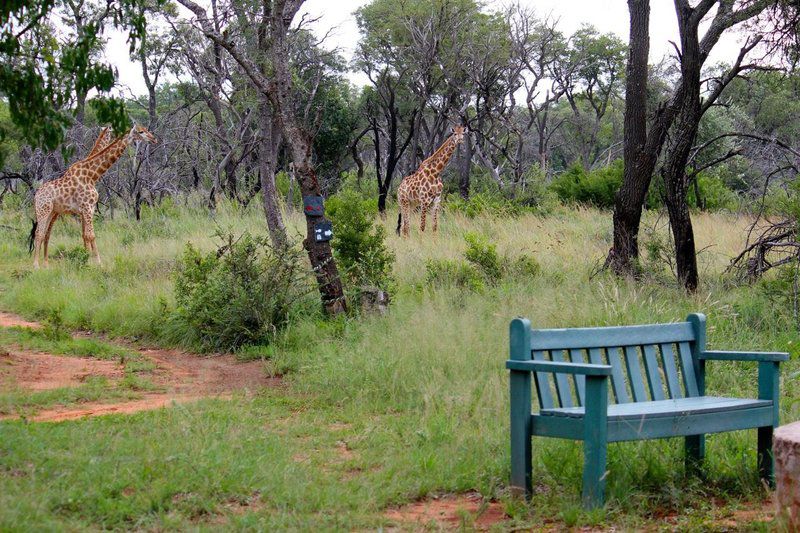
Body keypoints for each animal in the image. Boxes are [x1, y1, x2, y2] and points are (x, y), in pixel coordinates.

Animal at [28, 123, 156, 266]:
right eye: (141, 131)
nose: (154, 139)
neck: (92, 175)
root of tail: (36, 195)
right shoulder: (87, 208)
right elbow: (90, 235)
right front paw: (97, 262)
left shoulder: (88, 209)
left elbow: (85, 235)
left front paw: (87, 259)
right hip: (43, 210)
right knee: (39, 233)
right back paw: (36, 265)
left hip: (51, 212)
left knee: (45, 233)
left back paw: (45, 264)